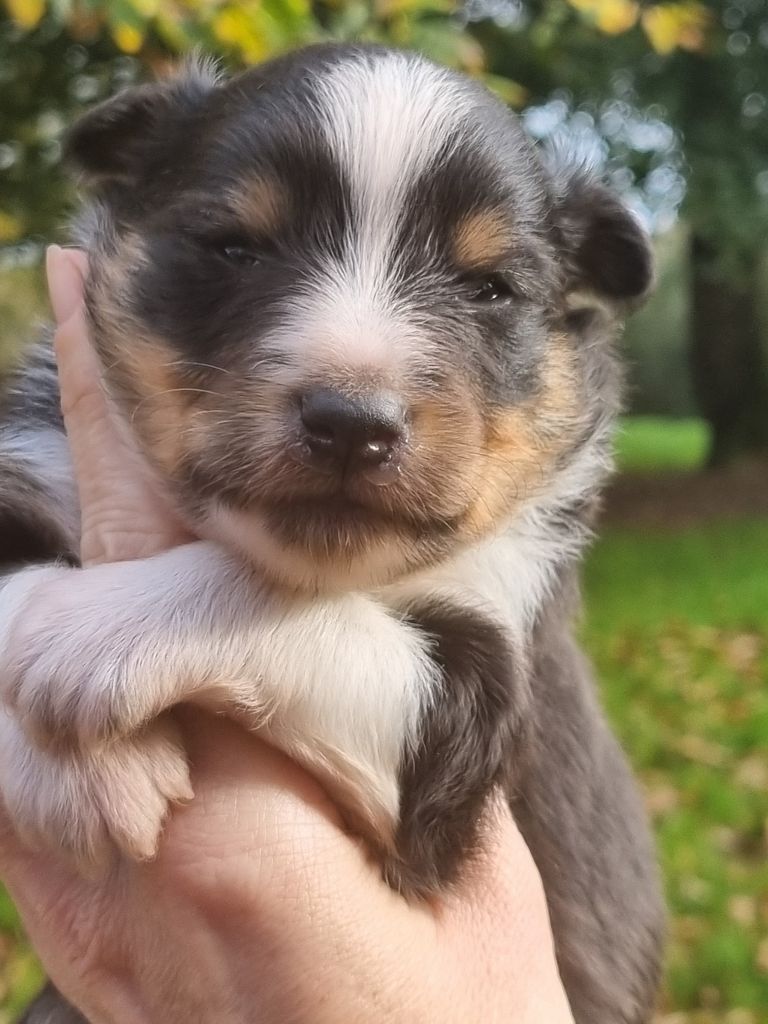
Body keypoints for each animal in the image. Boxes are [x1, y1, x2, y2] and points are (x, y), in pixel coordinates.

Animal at [0, 46, 667, 1024]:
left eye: (488, 288)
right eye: (236, 247)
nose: (352, 424)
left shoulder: (484, 697)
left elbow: (291, 604)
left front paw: (80, 642)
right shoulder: (36, 457)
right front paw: (67, 772)